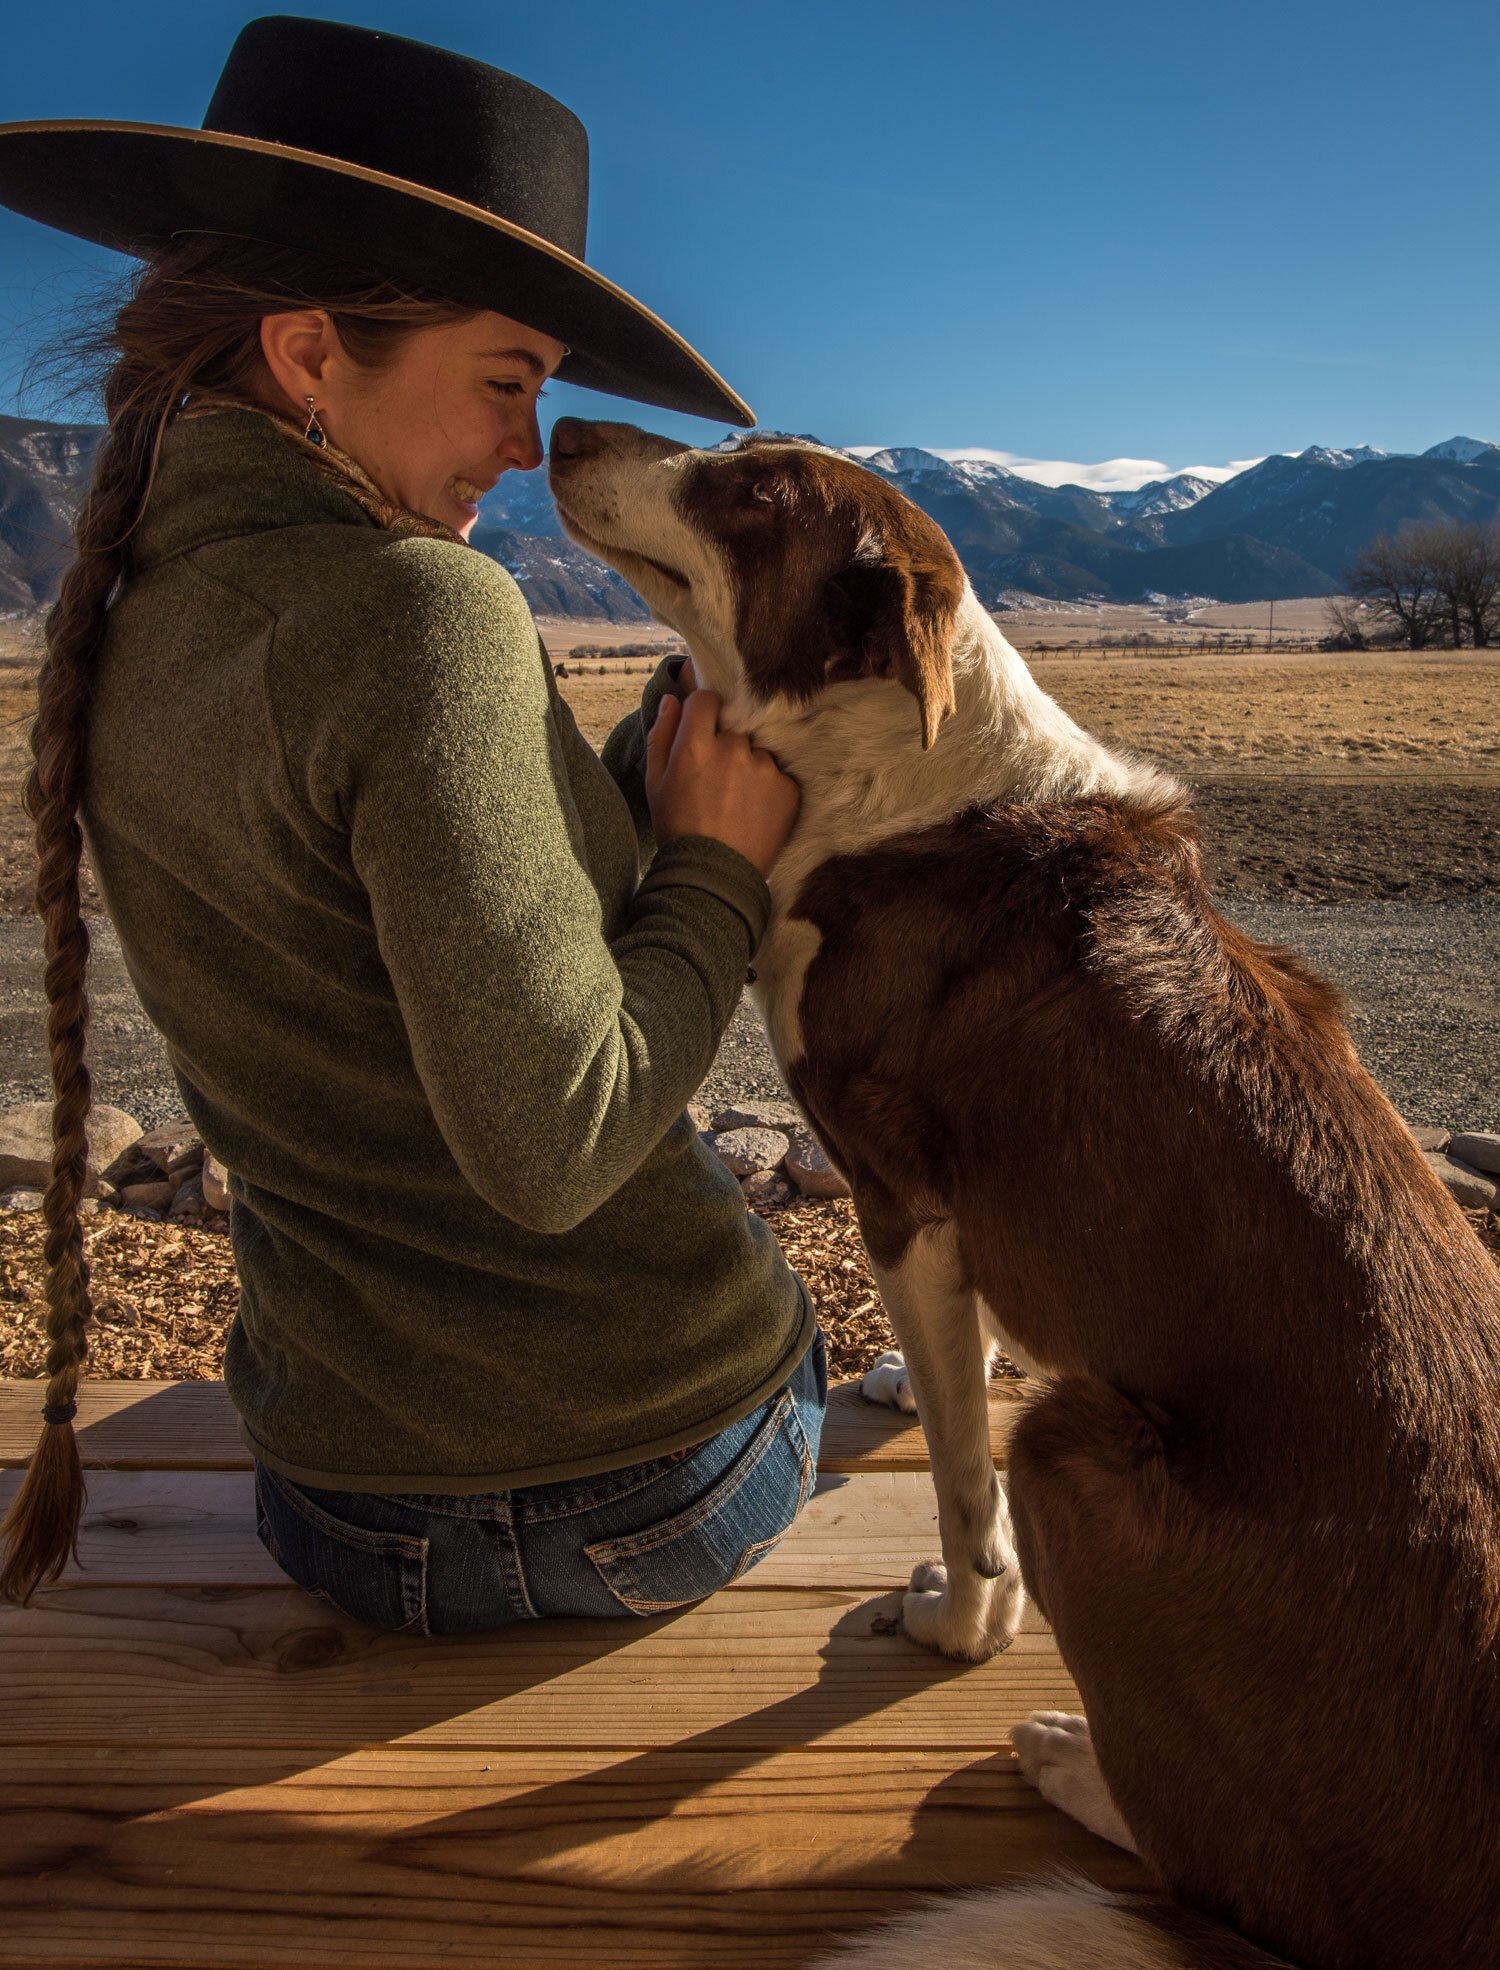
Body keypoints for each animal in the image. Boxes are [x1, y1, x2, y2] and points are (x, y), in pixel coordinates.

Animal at [544, 423, 1498, 1970]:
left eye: (752, 491)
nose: (564, 424)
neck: (903, 778)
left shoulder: (898, 1196)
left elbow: (958, 1484)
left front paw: (959, 1623)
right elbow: (953, 1366)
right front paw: (896, 1376)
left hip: (1077, 1448)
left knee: (1218, 1869)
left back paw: (1066, 1757)